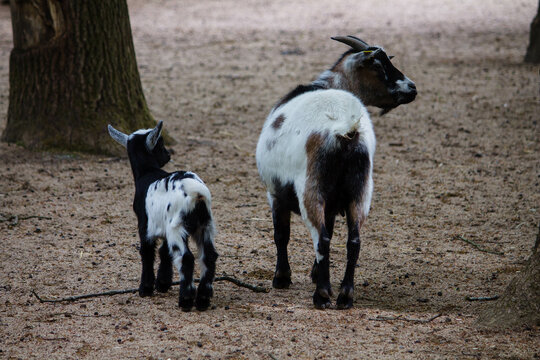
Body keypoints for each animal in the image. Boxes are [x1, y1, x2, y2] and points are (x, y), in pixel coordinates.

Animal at [108, 121, 218, 312]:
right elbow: (164, 251)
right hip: (205, 225)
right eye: (160, 144)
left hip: (177, 226)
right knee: (208, 256)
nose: (168, 155)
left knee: (186, 258)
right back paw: (203, 299)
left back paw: (186, 300)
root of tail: (197, 193)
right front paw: (163, 283)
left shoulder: (145, 225)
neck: (147, 172)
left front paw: (145, 288)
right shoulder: (164, 225)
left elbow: (147, 252)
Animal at [256, 35, 418, 308]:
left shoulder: (275, 193)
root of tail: (346, 129)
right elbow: (330, 230)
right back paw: (344, 295)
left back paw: (321, 295)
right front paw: (315, 273)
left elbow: (282, 235)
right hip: (360, 190)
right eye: (378, 66)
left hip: (311, 188)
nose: (412, 88)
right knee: (353, 242)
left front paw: (282, 278)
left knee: (321, 239)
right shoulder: (332, 203)